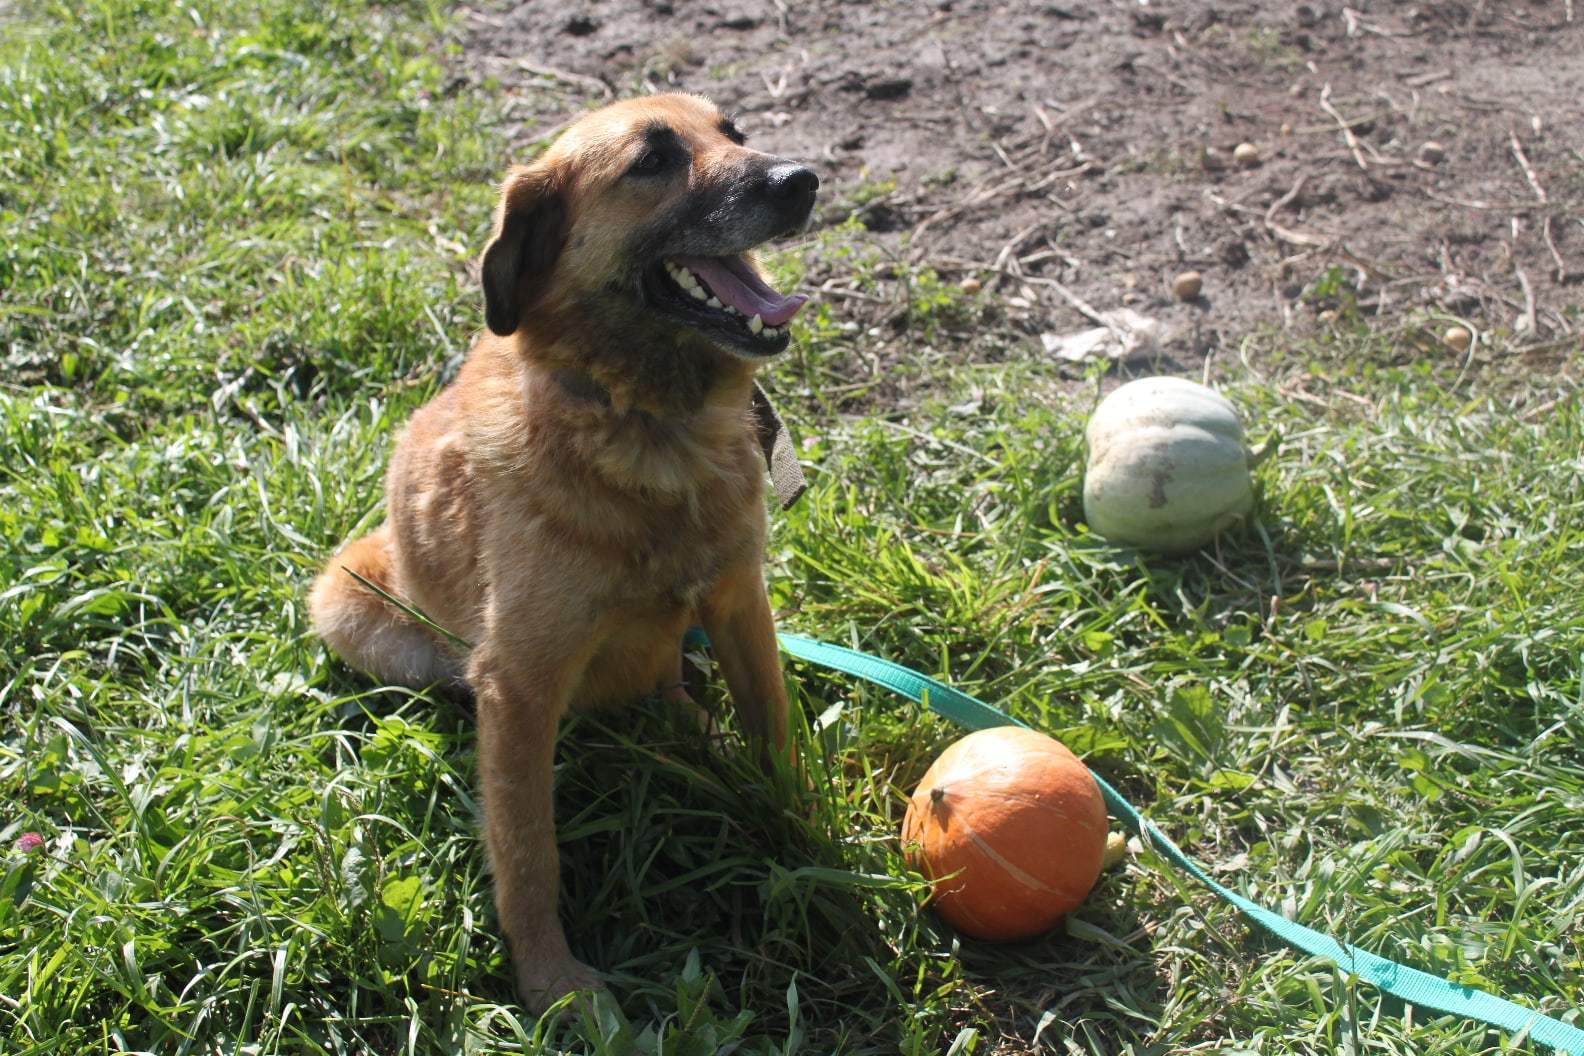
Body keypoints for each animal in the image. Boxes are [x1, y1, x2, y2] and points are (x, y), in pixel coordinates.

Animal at [305, 94, 817, 1013]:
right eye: (653, 160)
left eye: (735, 132)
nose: (804, 180)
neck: (648, 423)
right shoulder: (520, 683)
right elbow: (526, 851)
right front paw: (556, 988)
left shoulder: (738, 602)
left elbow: (772, 731)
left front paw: (806, 842)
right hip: (352, 605)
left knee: (671, 687)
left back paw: (694, 729)